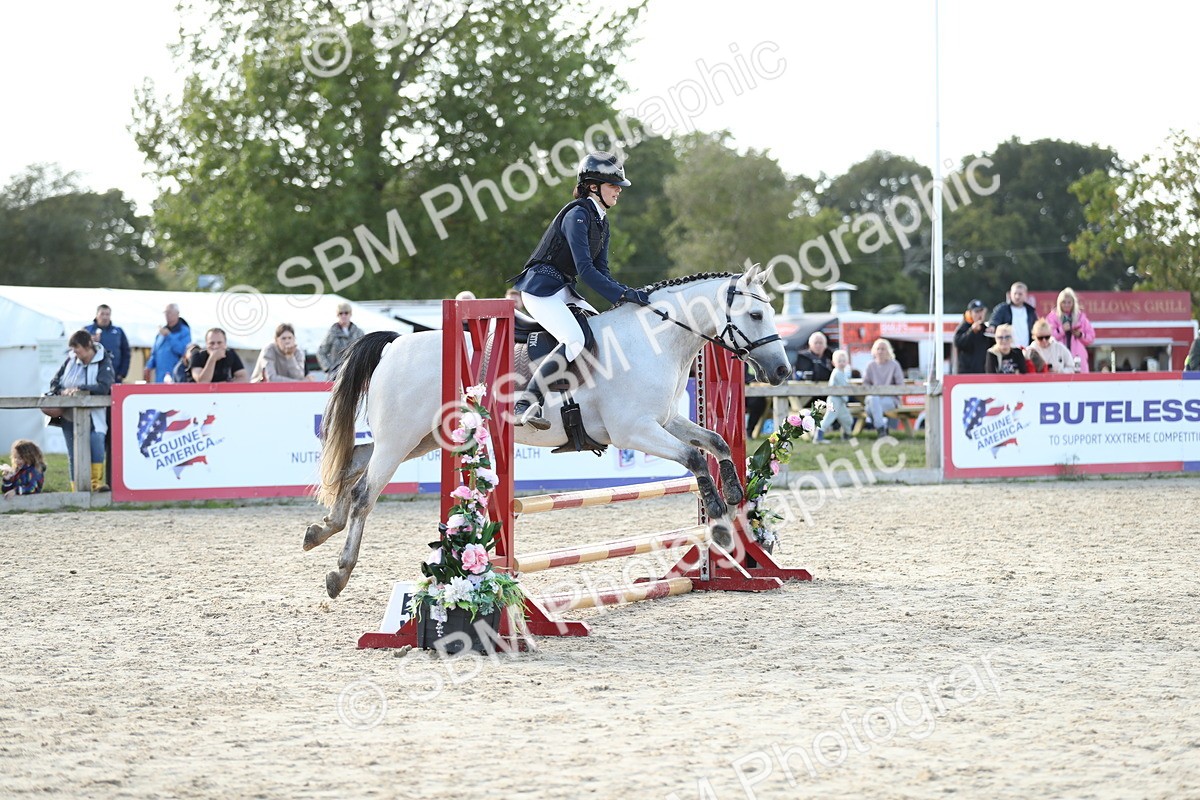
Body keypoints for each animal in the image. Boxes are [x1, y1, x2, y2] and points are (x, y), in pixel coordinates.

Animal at [306, 265, 793, 598]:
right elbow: (693, 458)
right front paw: (722, 524)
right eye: (755, 314)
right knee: (364, 493)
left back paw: (320, 530)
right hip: (402, 438)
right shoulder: (634, 431)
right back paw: (338, 573)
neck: (653, 340)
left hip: (421, 437)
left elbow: (717, 442)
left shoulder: (667, 421)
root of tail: (395, 344)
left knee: (353, 464)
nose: (783, 371)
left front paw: (735, 496)